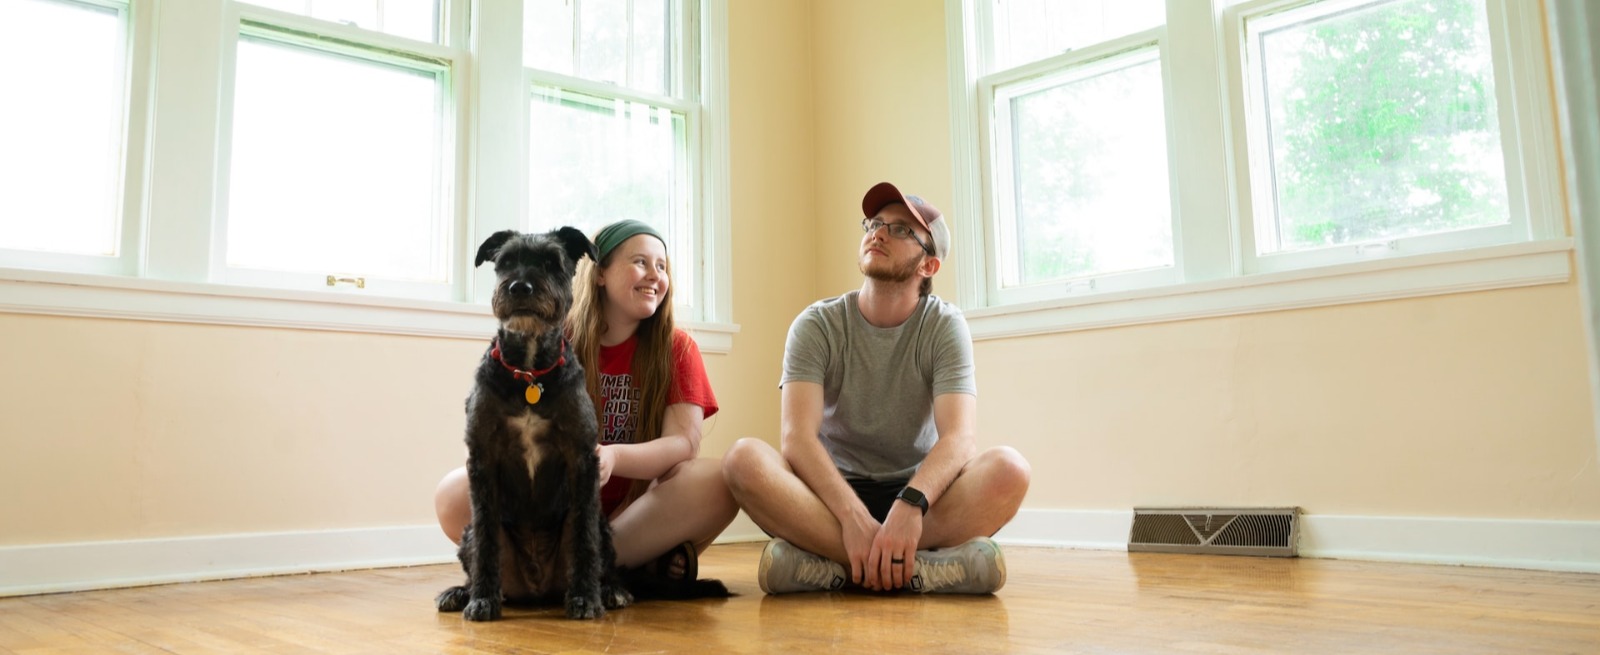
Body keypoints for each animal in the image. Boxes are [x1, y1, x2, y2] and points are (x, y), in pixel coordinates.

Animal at [432, 227, 630, 621]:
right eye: (506, 261)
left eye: (552, 262)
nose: (519, 287)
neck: (529, 375)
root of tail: (537, 589)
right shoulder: (482, 460)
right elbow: (487, 539)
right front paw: (482, 599)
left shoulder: (582, 458)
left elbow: (584, 538)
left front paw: (585, 598)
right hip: (469, 534)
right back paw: (461, 592)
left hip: (602, 527)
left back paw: (610, 589)